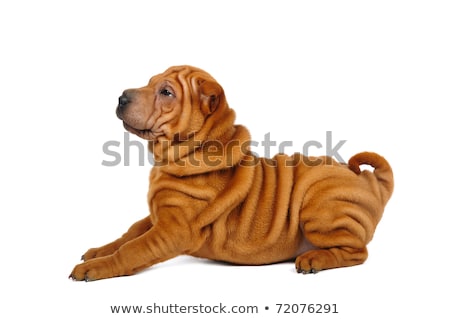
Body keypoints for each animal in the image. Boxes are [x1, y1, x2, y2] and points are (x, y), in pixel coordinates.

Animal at [68, 66, 392, 282]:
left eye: (166, 92)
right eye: (149, 84)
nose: (121, 97)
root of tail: (371, 181)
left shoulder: (173, 230)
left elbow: (134, 249)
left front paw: (95, 268)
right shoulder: (158, 215)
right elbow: (129, 233)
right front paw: (99, 251)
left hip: (319, 205)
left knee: (357, 252)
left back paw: (314, 258)